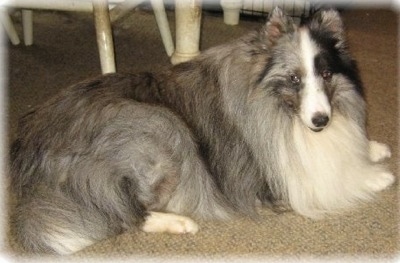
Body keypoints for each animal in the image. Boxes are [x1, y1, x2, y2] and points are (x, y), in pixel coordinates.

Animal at [9, 8, 394, 256]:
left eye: (326, 74)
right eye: (294, 78)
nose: (320, 121)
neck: (281, 112)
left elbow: (353, 146)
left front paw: (373, 149)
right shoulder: (280, 177)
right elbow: (335, 176)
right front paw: (377, 176)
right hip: (160, 127)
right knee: (124, 212)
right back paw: (179, 223)